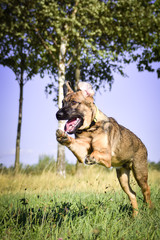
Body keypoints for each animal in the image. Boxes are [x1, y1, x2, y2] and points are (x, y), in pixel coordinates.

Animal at [56, 81, 151, 217]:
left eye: (74, 102)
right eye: (63, 102)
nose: (57, 115)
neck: (91, 128)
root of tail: (143, 146)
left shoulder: (106, 156)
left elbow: (96, 152)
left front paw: (92, 158)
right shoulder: (81, 151)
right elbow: (74, 144)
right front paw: (64, 137)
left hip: (140, 173)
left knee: (146, 191)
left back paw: (150, 210)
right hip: (122, 177)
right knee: (132, 194)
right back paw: (135, 216)